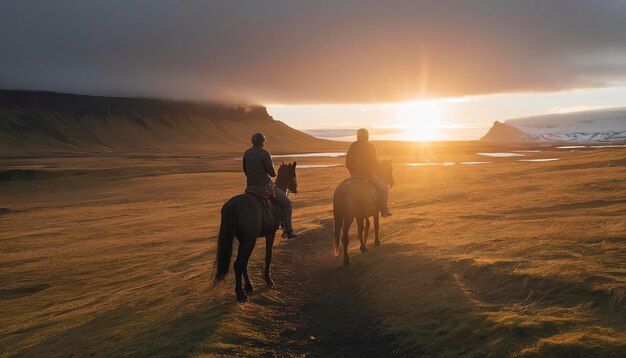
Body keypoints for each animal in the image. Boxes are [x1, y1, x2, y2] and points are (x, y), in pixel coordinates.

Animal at [212, 162, 298, 302]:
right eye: (294, 175)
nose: (296, 189)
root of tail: (232, 206)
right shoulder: (270, 234)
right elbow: (268, 256)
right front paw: (269, 280)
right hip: (249, 241)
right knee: (238, 263)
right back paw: (240, 294)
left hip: (246, 241)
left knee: (243, 263)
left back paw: (248, 286)